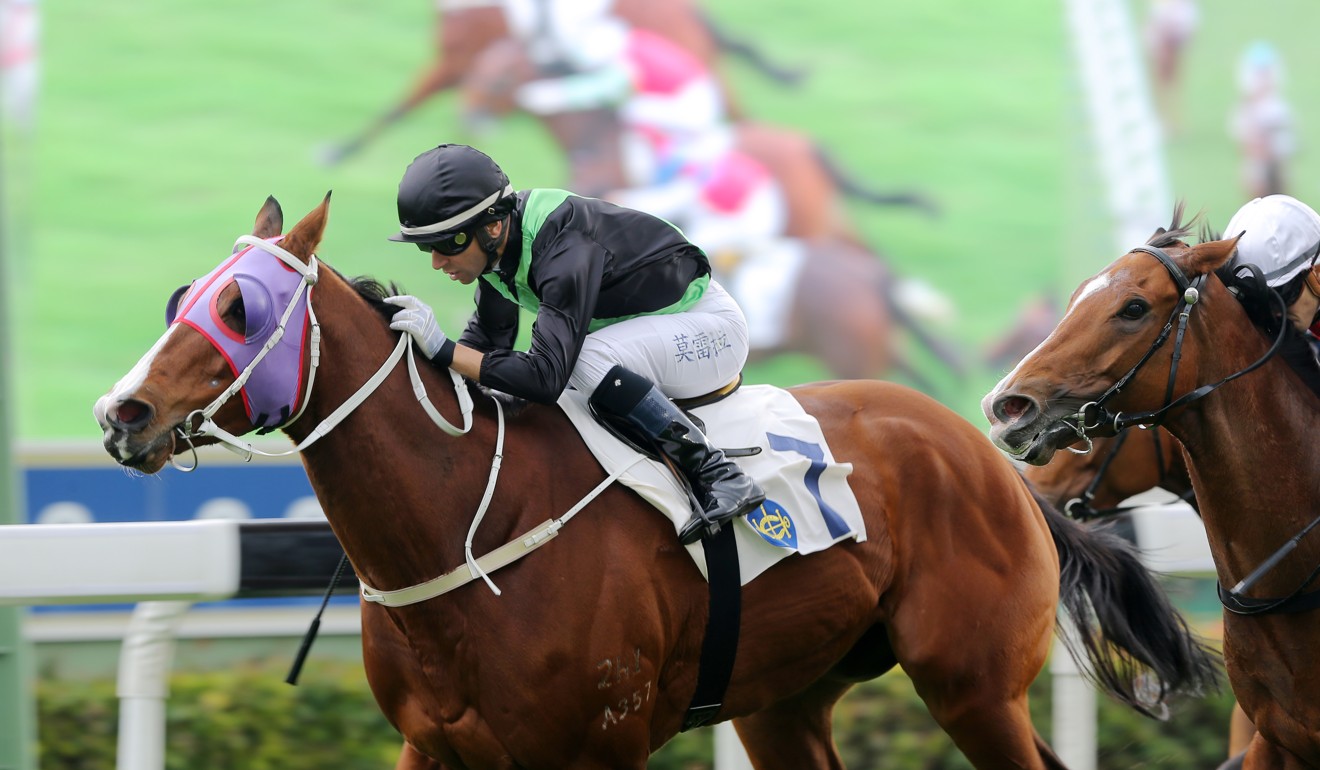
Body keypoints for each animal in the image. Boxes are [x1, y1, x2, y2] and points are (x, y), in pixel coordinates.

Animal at [95, 195, 1214, 770]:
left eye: (238, 307)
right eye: (181, 297)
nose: (122, 412)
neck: (464, 530)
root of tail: (993, 459)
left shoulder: (602, 747)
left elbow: (561, 355)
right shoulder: (435, 747)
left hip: (970, 681)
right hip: (788, 696)